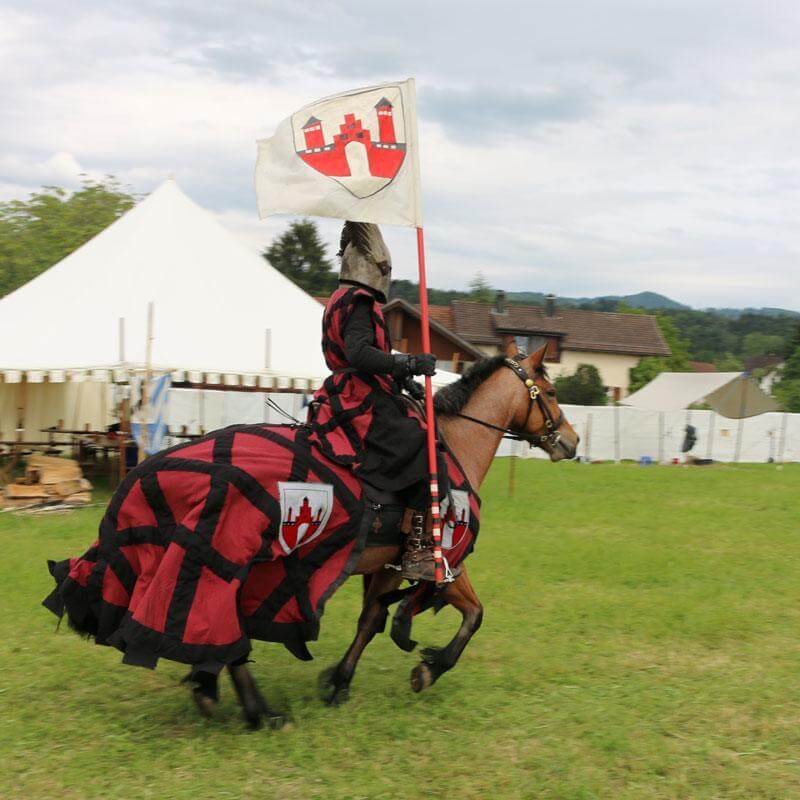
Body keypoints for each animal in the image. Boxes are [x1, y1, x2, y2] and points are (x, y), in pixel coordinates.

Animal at [211, 344, 576, 724]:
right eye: (551, 392)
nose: (572, 441)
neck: (456, 446)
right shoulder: (442, 560)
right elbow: (475, 614)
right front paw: (428, 670)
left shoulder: (389, 566)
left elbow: (371, 619)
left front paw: (340, 681)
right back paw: (257, 711)